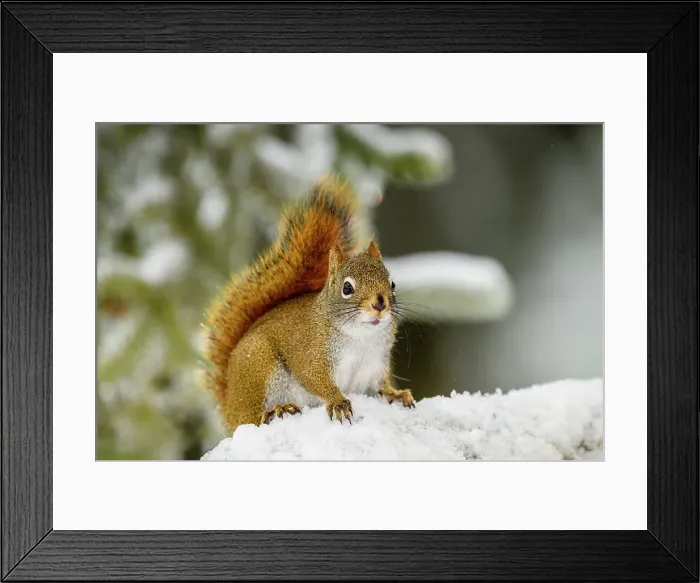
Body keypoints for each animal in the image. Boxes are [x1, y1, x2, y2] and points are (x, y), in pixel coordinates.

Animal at [204, 175, 415, 433]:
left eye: (392, 284)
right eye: (347, 288)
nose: (379, 305)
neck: (360, 337)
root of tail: (228, 402)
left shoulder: (376, 363)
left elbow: (382, 384)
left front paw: (396, 394)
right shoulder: (310, 353)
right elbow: (314, 378)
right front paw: (337, 401)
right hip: (257, 368)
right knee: (249, 419)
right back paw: (276, 411)